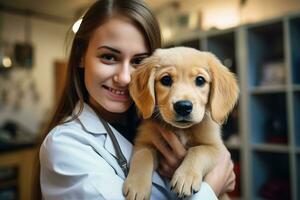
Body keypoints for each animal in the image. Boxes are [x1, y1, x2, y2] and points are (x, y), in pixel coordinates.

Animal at [122, 47, 239, 200]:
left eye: (200, 80)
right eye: (166, 80)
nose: (183, 106)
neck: (181, 129)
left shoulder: (215, 148)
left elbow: (198, 150)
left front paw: (185, 177)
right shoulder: (144, 142)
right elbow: (143, 156)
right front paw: (137, 185)